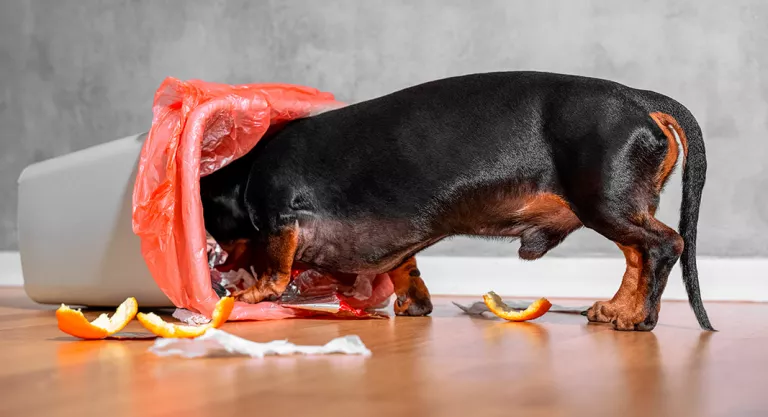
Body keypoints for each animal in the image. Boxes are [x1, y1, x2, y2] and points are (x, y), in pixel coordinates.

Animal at [200, 72, 712, 332]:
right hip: (616, 207)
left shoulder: (280, 218)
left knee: (664, 246)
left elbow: (275, 273)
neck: (248, 173)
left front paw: (246, 295)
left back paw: (639, 318)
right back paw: (617, 310)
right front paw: (413, 304)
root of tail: (639, 98)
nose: (213, 262)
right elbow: (406, 272)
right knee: (636, 256)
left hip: (604, 205)